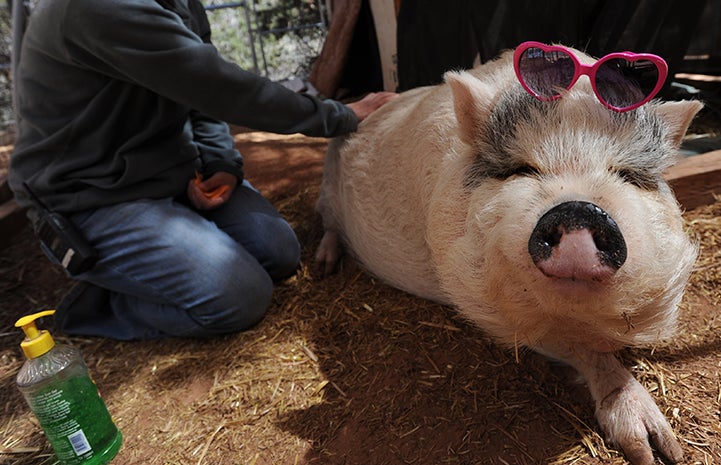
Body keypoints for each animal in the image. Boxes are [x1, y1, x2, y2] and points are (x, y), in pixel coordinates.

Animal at [314, 45, 696, 464]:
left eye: (626, 174)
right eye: (522, 169)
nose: (580, 210)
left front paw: (671, 453)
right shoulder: (490, 309)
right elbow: (581, 347)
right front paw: (649, 453)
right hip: (328, 191)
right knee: (326, 222)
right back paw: (323, 267)